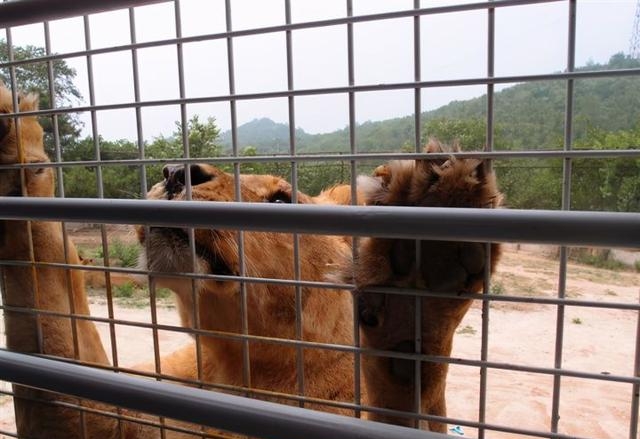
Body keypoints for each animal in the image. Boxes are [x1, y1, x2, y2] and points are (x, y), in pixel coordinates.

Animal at [0, 81, 500, 436]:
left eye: (280, 200)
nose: (175, 172)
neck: (241, 369)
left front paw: (423, 273)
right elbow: (43, 284)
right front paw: (11, 134)